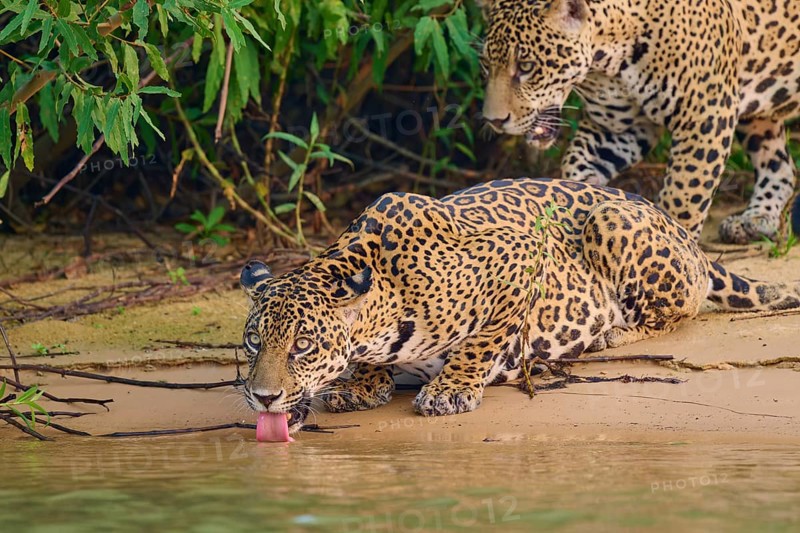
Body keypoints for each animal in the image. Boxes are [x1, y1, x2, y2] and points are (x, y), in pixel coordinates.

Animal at [238, 178, 800, 433]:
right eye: (253, 342)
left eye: (303, 346)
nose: (262, 397)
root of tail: (682, 231)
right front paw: (361, 385)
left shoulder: (518, 254)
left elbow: (483, 341)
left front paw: (451, 390)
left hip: (610, 219)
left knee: (675, 312)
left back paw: (614, 332)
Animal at [480, 0, 800, 244]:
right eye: (485, 65)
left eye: (526, 66)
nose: (494, 120)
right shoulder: (619, 129)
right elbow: (577, 163)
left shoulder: (705, 117)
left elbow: (684, 196)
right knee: (782, 167)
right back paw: (756, 220)